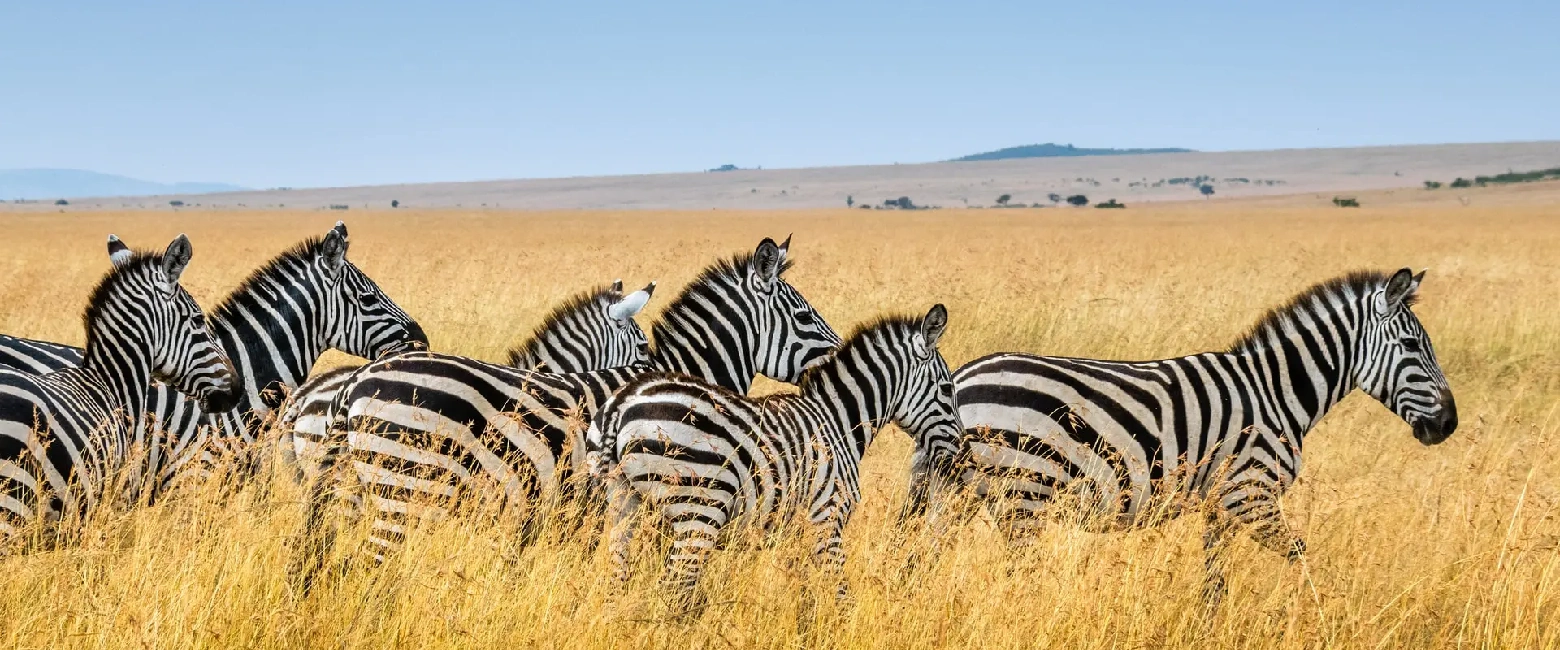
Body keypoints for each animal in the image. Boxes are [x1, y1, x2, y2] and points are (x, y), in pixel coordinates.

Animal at [591, 304, 960, 601]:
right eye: (947, 389)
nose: (959, 453)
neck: (838, 421)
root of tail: (622, 404)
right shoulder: (828, 516)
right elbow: (839, 592)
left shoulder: (797, 528)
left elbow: (806, 593)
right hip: (698, 510)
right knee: (675, 589)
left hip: (624, 502)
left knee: (617, 581)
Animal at [943, 268, 1458, 602]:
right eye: (1412, 346)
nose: (1449, 424)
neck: (1275, 391)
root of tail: (961, 377)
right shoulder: (1249, 493)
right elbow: (1301, 556)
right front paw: (1321, 613)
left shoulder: (1220, 505)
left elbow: (1215, 579)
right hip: (1023, 495)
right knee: (1017, 575)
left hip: (965, 495)